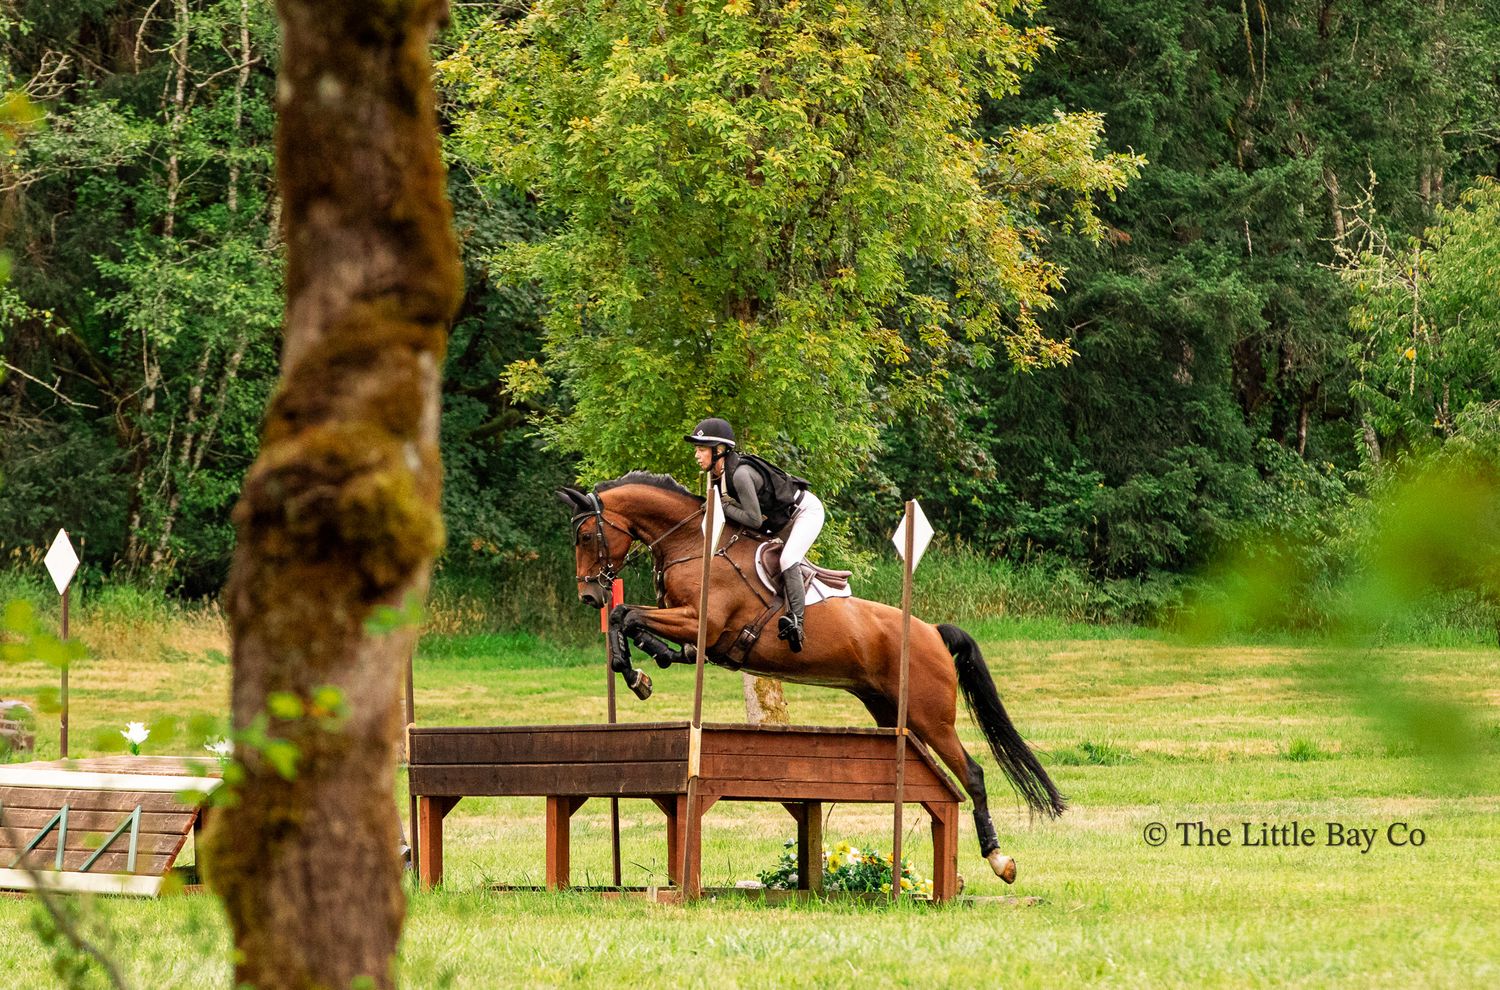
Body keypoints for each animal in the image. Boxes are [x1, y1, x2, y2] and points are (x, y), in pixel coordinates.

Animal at [556, 473, 1065, 883]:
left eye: (586, 534)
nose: (588, 595)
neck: (693, 545)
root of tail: (933, 632)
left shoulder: (701, 621)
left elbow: (626, 613)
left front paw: (635, 668)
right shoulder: (690, 628)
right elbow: (629, 619)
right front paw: (640, 670)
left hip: (931, 716)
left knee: (971, 774)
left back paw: (999, 861)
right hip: (893, 716)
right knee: (933, 777)